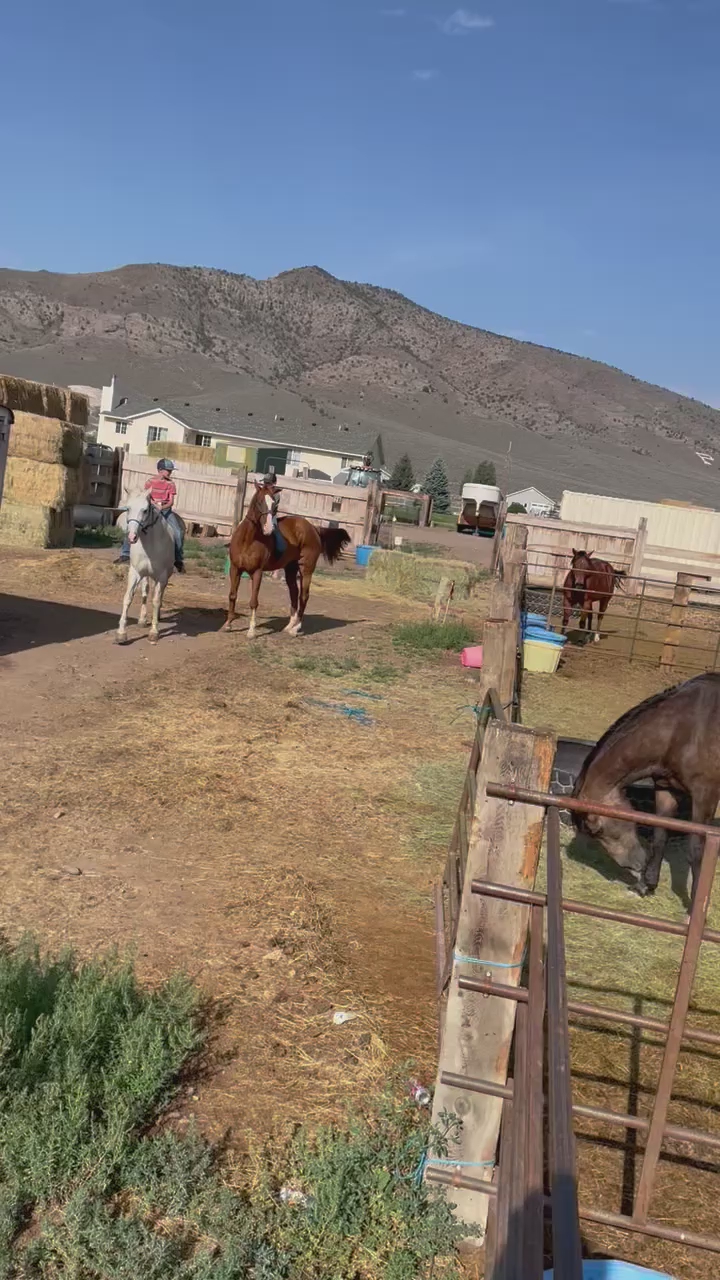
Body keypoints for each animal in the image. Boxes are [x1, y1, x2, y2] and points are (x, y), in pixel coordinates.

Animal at [116, 491, 185, 645]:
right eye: (128, 508)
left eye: (145, 510)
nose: (132, 537)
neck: (150, 545)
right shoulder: (135, 573)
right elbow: (128, 598)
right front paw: (121, 634)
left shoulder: (162, 576)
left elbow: (156, 601)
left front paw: (154, 632)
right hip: (145, 575)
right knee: (145, 591)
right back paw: (142, 620)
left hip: (165, 576)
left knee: (159, 594)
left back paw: (156, 616)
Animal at [223, 482, 351, 637]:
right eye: (259, 502)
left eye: (274, 504)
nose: (269, 529)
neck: (248, 540)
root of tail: (313, 528)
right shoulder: (235, 569)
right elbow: (232, 595)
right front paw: (228, 624)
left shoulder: (257, 572)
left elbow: (253, 601)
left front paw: (251, 631)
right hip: (291, 568)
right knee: (294, 593)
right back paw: (290, 625)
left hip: (306, 569)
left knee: (303, 595)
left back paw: (296, 628)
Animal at [571, 673, 720, 906]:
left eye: (597, 830)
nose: (635, 864)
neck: (682, 729)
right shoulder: (666, 789)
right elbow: (659, 836)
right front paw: (646, 885)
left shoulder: (705, 797)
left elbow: (697, 851)